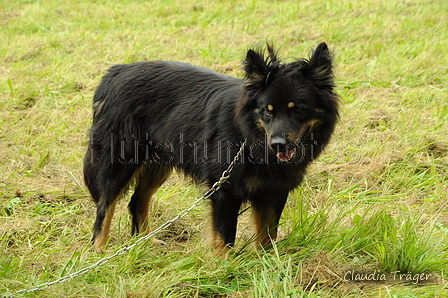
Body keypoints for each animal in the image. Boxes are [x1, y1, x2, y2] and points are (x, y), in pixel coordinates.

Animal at [84, 42, 338, 256]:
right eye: (268, 110)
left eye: (298, 110)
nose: (278, 144)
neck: (249, 136)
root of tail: (114, 73)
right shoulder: (224, 191)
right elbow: (225, 237)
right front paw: (223, 269)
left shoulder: (274, 191)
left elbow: (268, 236)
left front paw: (266, 264)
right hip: (120, 161)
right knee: (105, 206)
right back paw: (99, 250)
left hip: (158, 163)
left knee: (137, 200)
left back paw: (146, 242)